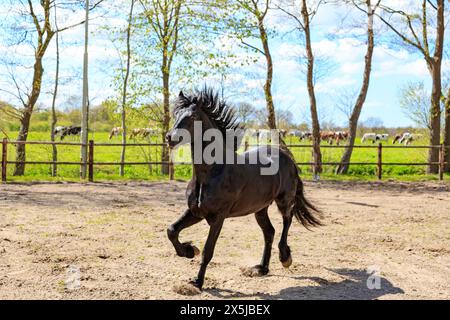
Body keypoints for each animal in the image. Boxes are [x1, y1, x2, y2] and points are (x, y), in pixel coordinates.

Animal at [165, 87, 320, 292]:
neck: (212, 172)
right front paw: (189, 251)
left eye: (192, 116)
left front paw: (197, 282)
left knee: (288, 220)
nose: (170, 138)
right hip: (260, 209)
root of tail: (287, 157)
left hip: (284, 201)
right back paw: (261, 268)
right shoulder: (196, 212)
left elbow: (208, 251)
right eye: (176, 114)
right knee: (269, 232)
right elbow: (172, 230)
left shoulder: (218, 217)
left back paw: (285, 257)